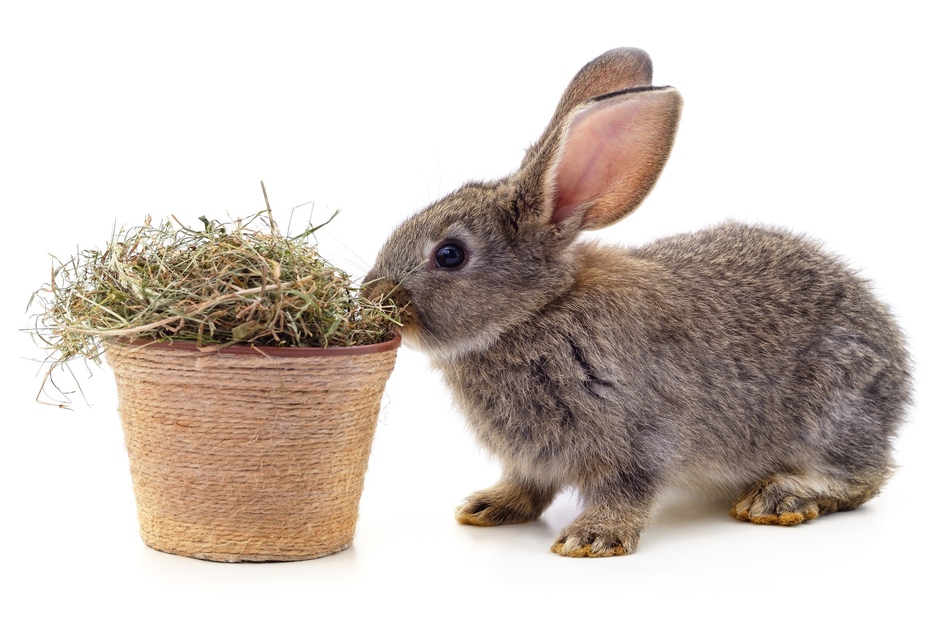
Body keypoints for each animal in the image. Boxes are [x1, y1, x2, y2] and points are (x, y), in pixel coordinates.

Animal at [360, 47, 912, 556]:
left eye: (449, 254)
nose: (372, 296)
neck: (538, 310)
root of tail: (898, 372)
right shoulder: (530, 459)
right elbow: (527, 485)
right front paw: (489, 506)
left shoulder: (637, 433)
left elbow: (627, 488)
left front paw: (591, 538)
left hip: (832, 414)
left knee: (863, 478)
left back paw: (778, 497)